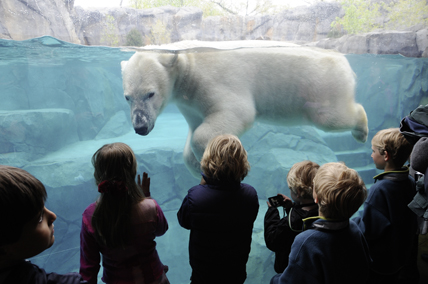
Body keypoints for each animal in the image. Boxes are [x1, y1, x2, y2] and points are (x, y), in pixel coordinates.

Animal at [120, 40, 368, 178]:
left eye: (150, 93)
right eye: (127, 97)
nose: (140, 126)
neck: (187, 63)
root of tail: (345, 64)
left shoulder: (213, 79)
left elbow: (234, 113)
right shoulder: (187, 100)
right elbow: (195, 127)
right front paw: (196, 164)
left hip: (321, 85)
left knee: (331, 116)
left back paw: (362, 129)